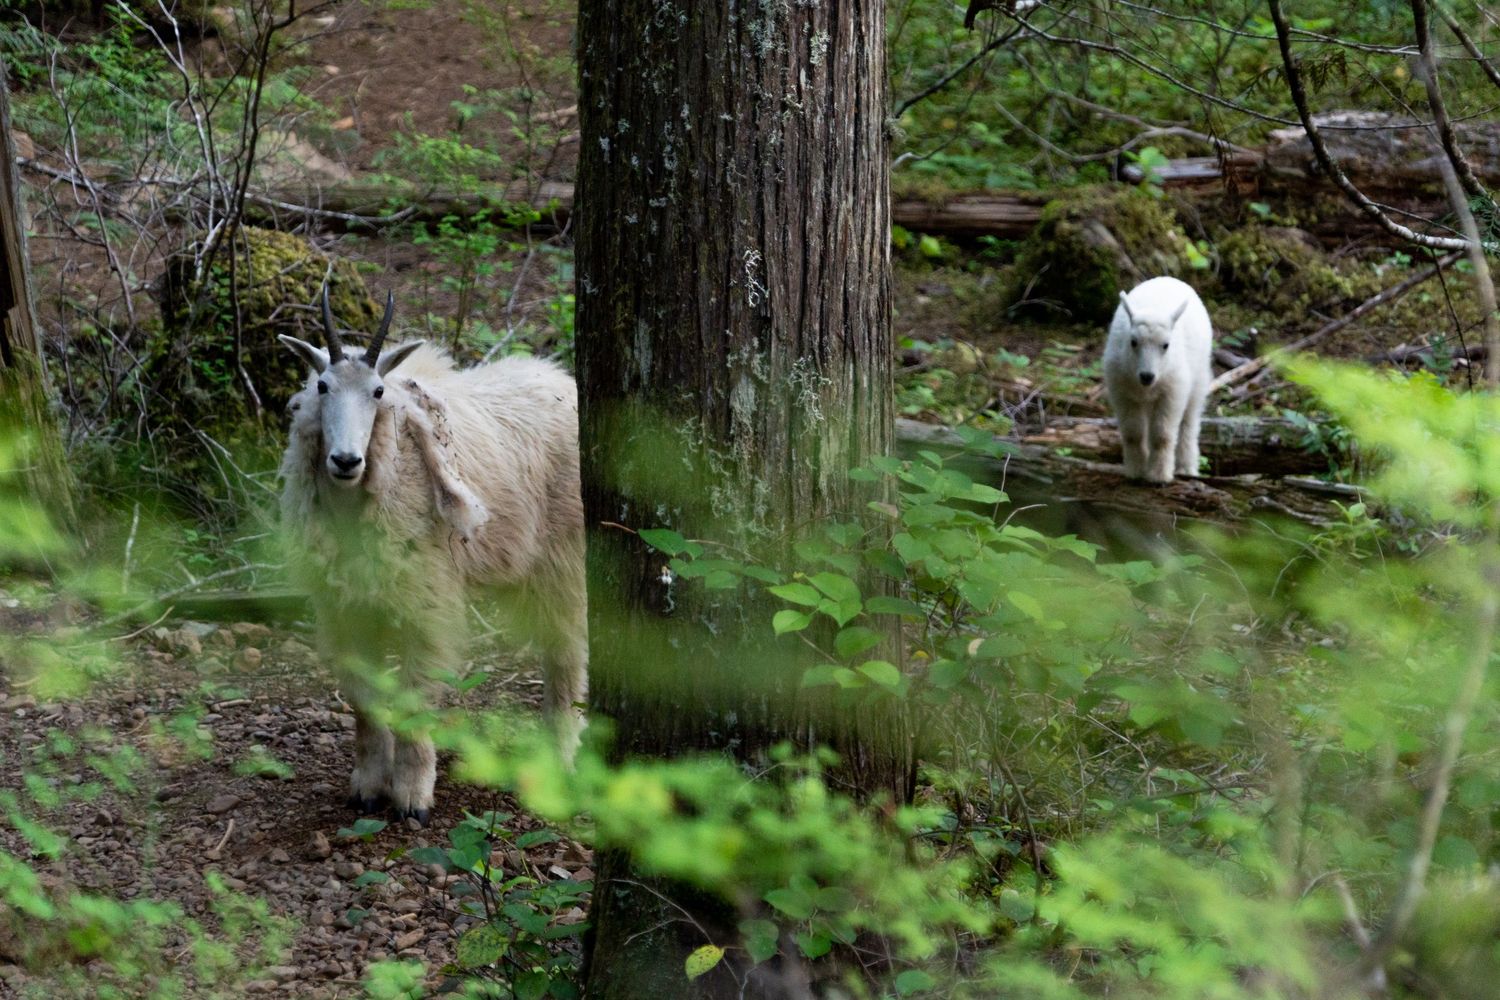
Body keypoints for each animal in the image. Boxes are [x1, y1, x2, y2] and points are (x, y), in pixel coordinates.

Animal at [278, 288, 587, 824]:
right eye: (321, 386)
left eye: (378, 393)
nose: (346, 461)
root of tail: (563, 382)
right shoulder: (345, 605)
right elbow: (364, 699)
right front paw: (367, 788)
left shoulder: (425, 599)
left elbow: (415, 697)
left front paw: (412, 799)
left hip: (563, 559)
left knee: (566, 655)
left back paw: (560, 758)